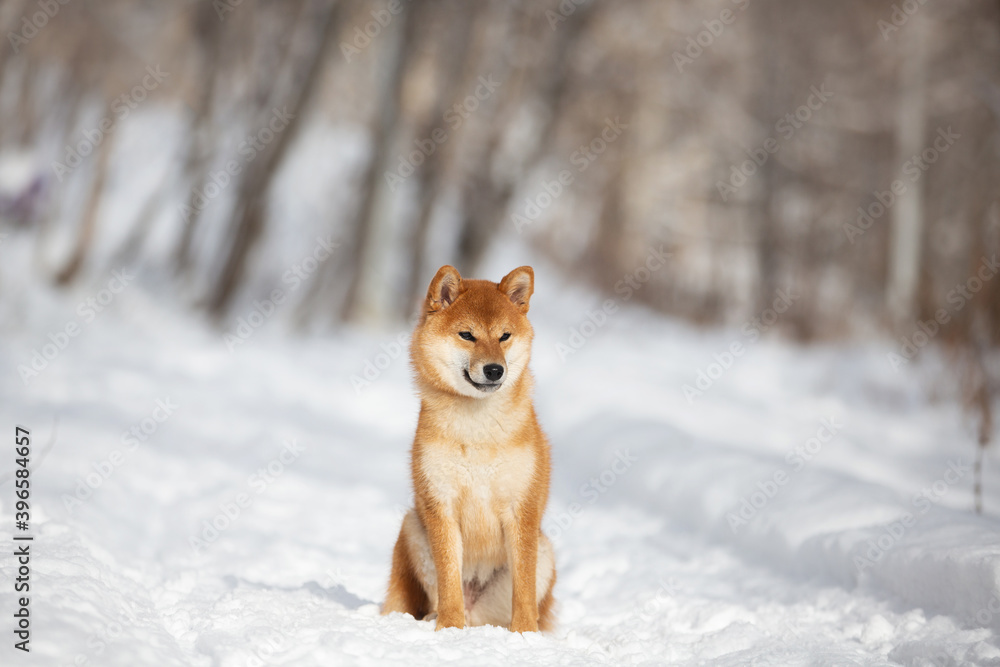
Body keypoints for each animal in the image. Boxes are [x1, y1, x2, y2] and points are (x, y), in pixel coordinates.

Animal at [380, 264, 556, 632]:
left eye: (504, 336)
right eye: (467, 335)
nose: (494, 369)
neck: (477, 433)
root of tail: (476, 616)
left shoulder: (521, 509)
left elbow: (524, 586)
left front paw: (525, 634)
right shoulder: (441, 505)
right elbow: (449, 581)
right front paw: (449, 628)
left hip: (545, 550)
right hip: (412, 528)